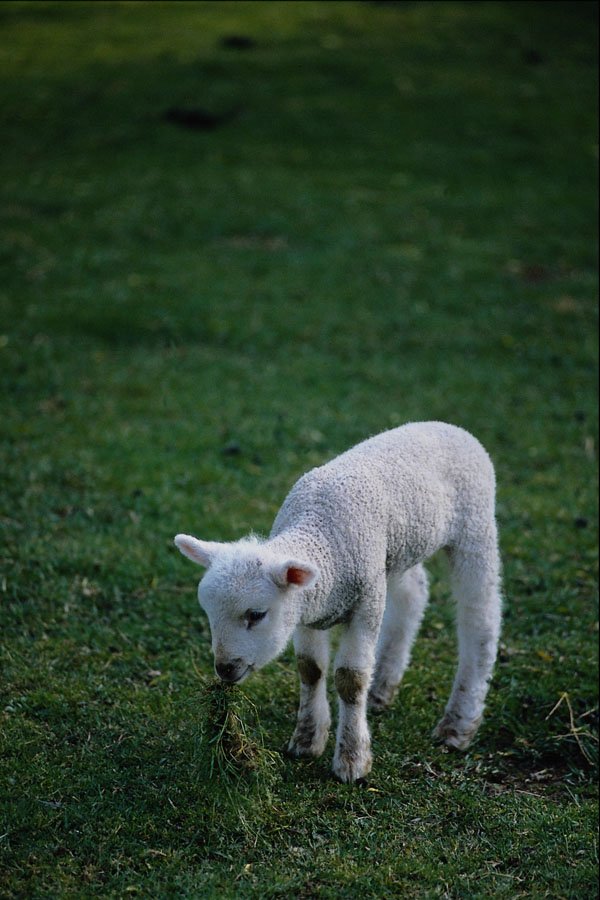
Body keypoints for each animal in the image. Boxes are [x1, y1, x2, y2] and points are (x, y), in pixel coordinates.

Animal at [174, 421, 502, 784]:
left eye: (256, 615)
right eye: (208, 615)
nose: (225, 669)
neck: (319, 537)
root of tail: (448, 426)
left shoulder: (365, 603)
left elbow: (350, 679)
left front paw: (352, 760)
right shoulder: (307, 608)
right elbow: (310, 669)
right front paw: (306, 740)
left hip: (474, 527)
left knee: (480, 616)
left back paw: (458, 723)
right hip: (396, 553)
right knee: (413, 593)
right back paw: (382, 687)